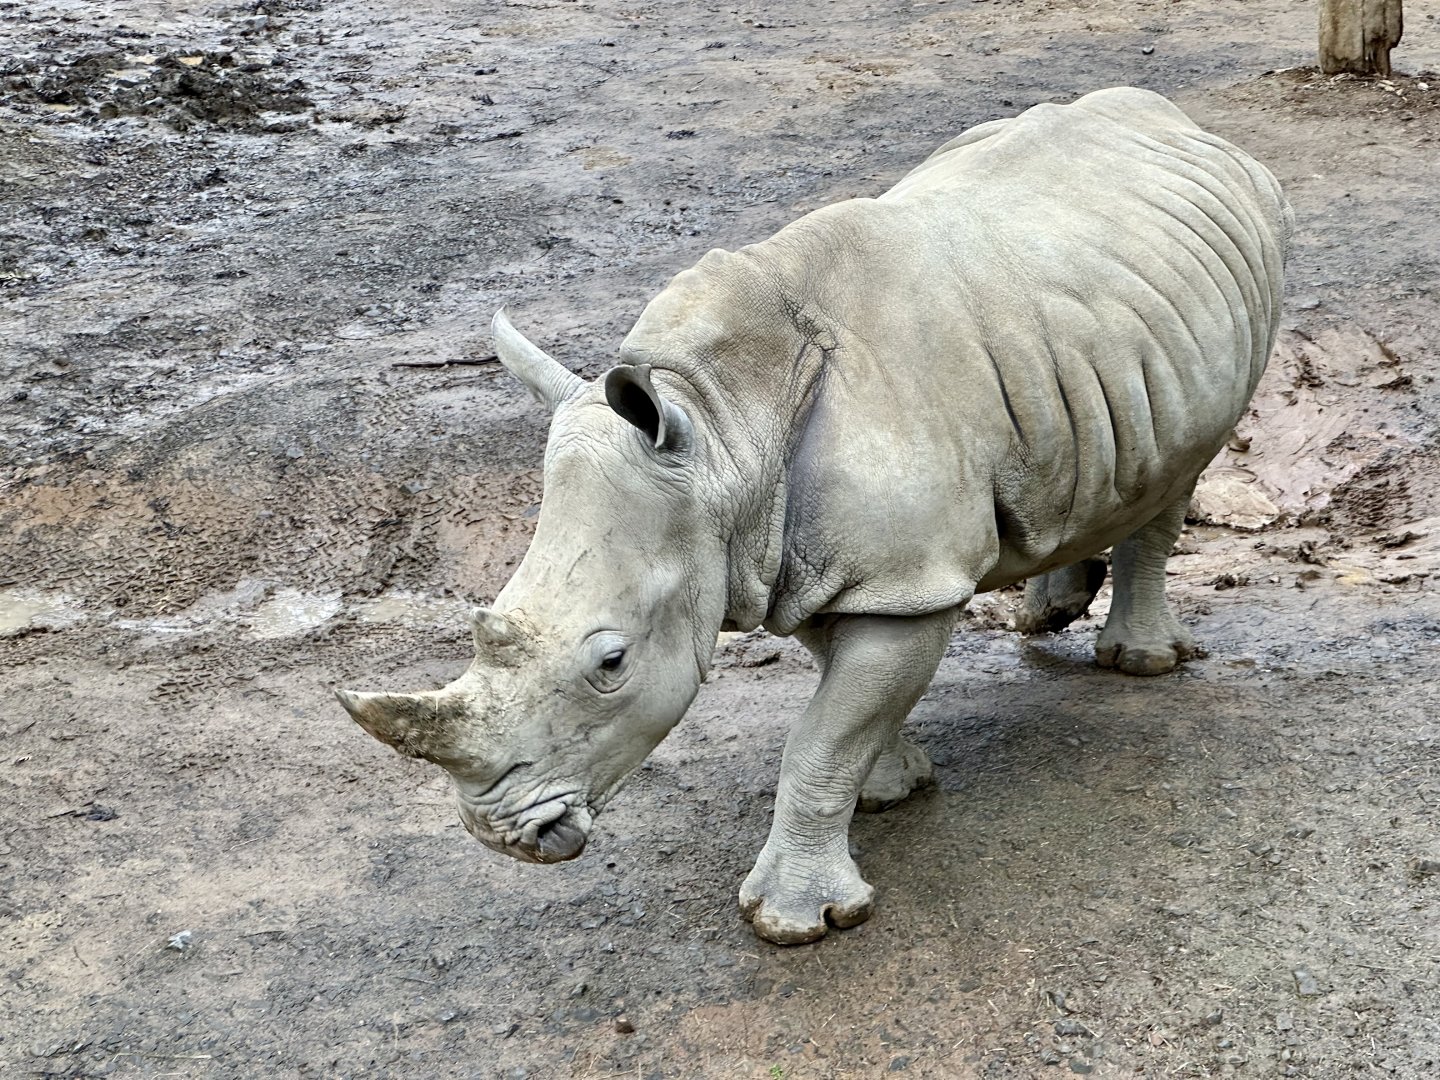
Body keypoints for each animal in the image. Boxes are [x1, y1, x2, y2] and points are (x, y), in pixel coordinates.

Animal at [337, 87, 1291, 945]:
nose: (502, 836)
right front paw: (889, 787)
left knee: (1185, 465)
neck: (721, 426)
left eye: (611, 662)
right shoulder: (786, 553)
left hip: (1255, 250)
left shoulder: (895, 575)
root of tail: (1175, 118)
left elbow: (821, 737)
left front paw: (800, 921)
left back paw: (1140, 662)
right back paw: (1049, 607)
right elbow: (842, 703)